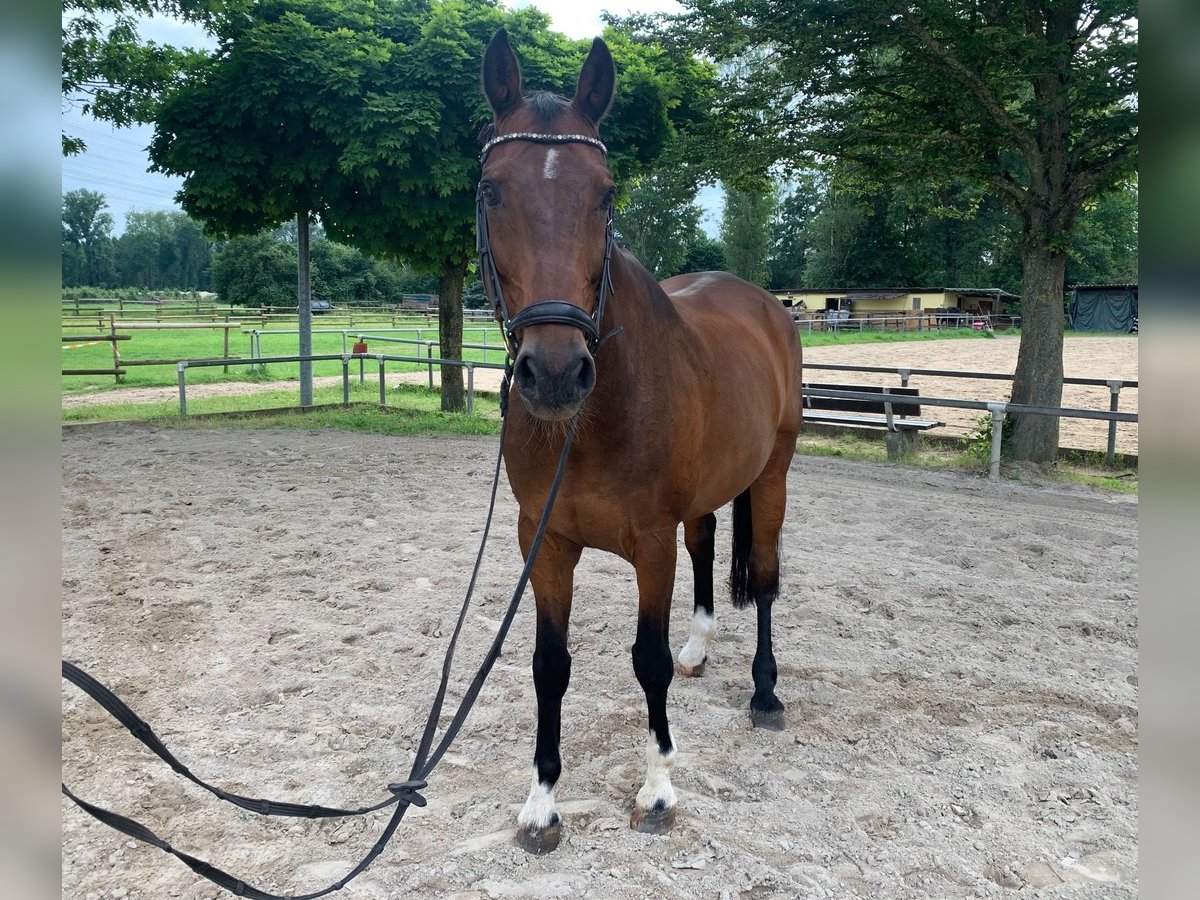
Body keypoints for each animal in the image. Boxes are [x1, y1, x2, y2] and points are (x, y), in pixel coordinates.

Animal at [480, 28, 806, 854]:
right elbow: (549, 663)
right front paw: (542, 802)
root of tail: (765, 305)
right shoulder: (545, 541)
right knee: (708, 543)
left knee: (764, 576)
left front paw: (658, 787)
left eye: (606, 192)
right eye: (492, 189)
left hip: (774, 474)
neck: (593, 421)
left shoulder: (649, 545)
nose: (554, 373)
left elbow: (646, 661)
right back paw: (702, 648)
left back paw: (764, 692)